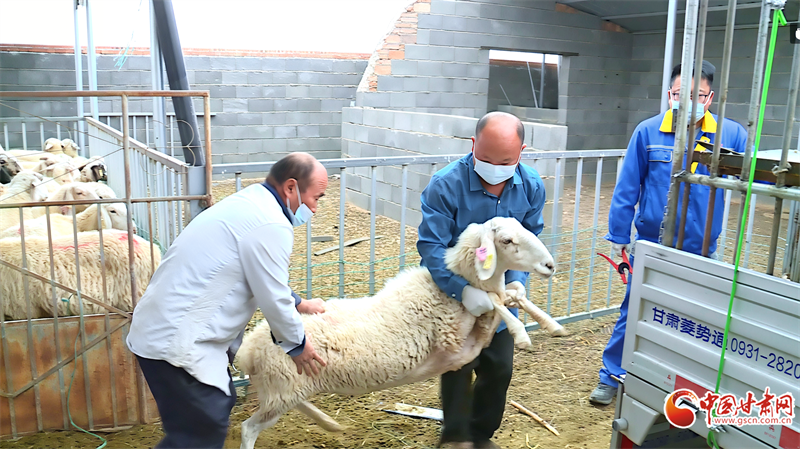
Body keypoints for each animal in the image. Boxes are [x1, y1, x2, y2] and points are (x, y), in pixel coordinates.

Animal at [236, 217, 557, 449]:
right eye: (506, 240)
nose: (550, 265)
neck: (446, 292)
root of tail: (249, 349)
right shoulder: (456, 339)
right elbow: (493, 300)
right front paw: (522, 334)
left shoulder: (471, 342)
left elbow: (511, 293)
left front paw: (551, 324)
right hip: (282, 390)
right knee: (248, 428)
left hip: (284, 389)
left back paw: (329, 423)